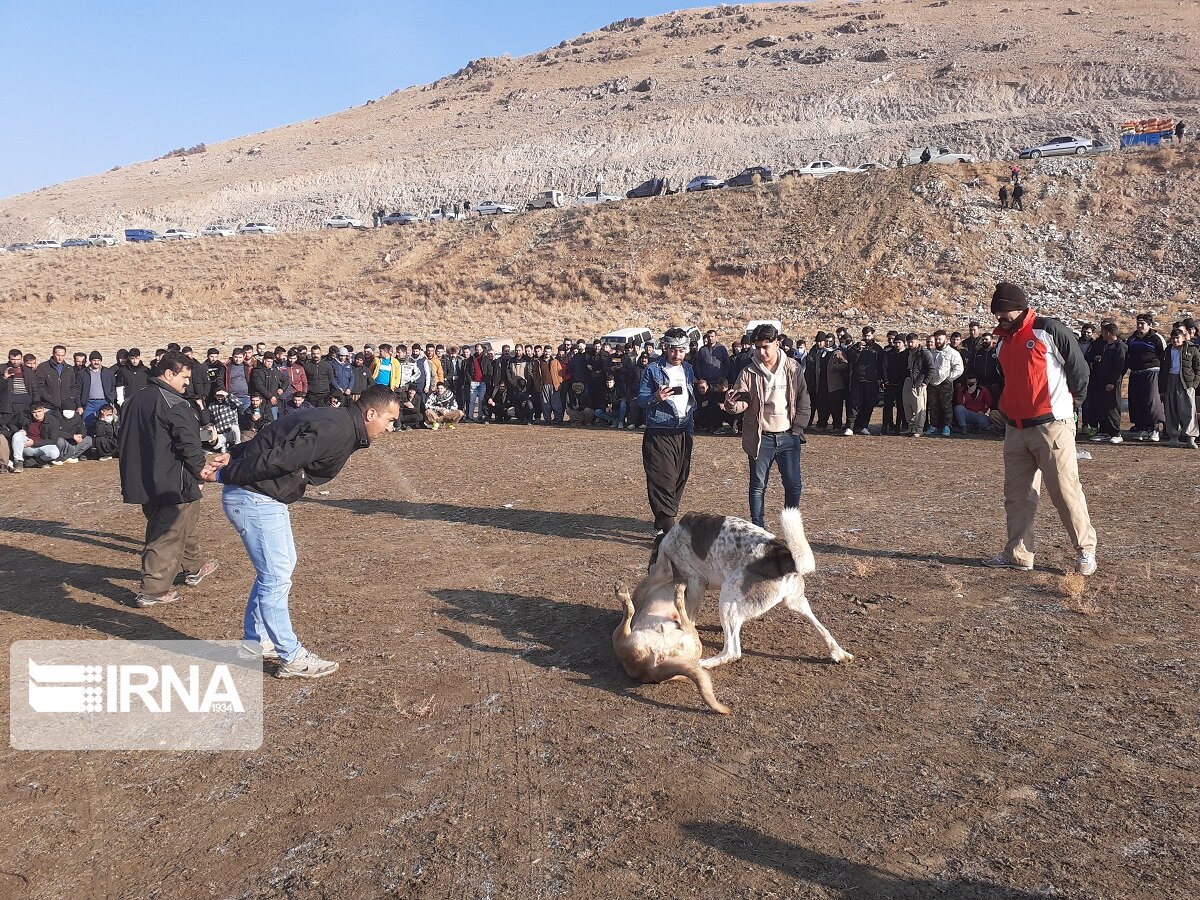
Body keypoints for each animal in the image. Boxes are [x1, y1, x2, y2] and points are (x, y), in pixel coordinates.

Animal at [609, 573, 729, 715]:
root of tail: (652, 669)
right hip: (690, 636)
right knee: (678, 608)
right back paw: (679, 590)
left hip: (620, 637)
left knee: (629, 610)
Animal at [648, 508, 854, 672]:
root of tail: (782, 556)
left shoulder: (696, 582)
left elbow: (689, 616)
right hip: (797, 603)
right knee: (823, 629)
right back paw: (839, 653)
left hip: (727, 599)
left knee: (732, 651)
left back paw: (705, 663)